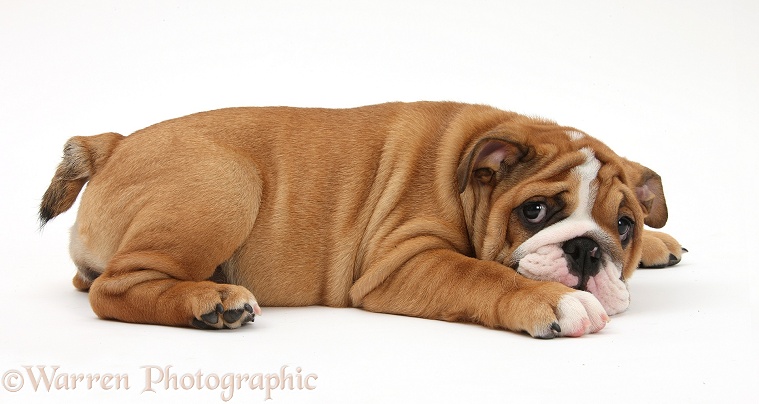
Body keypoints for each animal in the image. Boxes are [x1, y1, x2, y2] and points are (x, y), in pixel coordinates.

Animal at [38, 101, 684, 338]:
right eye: (535, 211)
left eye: (624, 225)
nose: (587, 249)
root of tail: (112, 144)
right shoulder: (404, 261)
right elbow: (484, 274)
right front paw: (554, 300)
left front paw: (660, 240)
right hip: (222, 186)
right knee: (117, 289)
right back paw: (211, 301)